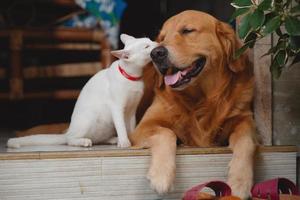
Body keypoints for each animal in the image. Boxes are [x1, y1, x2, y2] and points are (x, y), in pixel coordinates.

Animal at [7, 33, 157, 148]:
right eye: (146, 46)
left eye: (150, 40)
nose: (156, 44)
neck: (132, 77)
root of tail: (68, 131)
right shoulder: (117, 107)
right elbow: (121, 127)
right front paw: (125, 142)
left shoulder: (132, 110)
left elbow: (131, 127)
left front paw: (131, 138)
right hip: (89, 116)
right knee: (70, 140)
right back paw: (84, 141)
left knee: (97, 139)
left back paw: (111, 139)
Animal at [130, 10, 256, 198]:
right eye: (162, 38)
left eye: (187, 30)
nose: (156, 53)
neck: (200, 99)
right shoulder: (144, 126)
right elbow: (166, 132)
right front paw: (161, 176)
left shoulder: (244, 119)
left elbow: (246, 142)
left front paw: (240, 181)